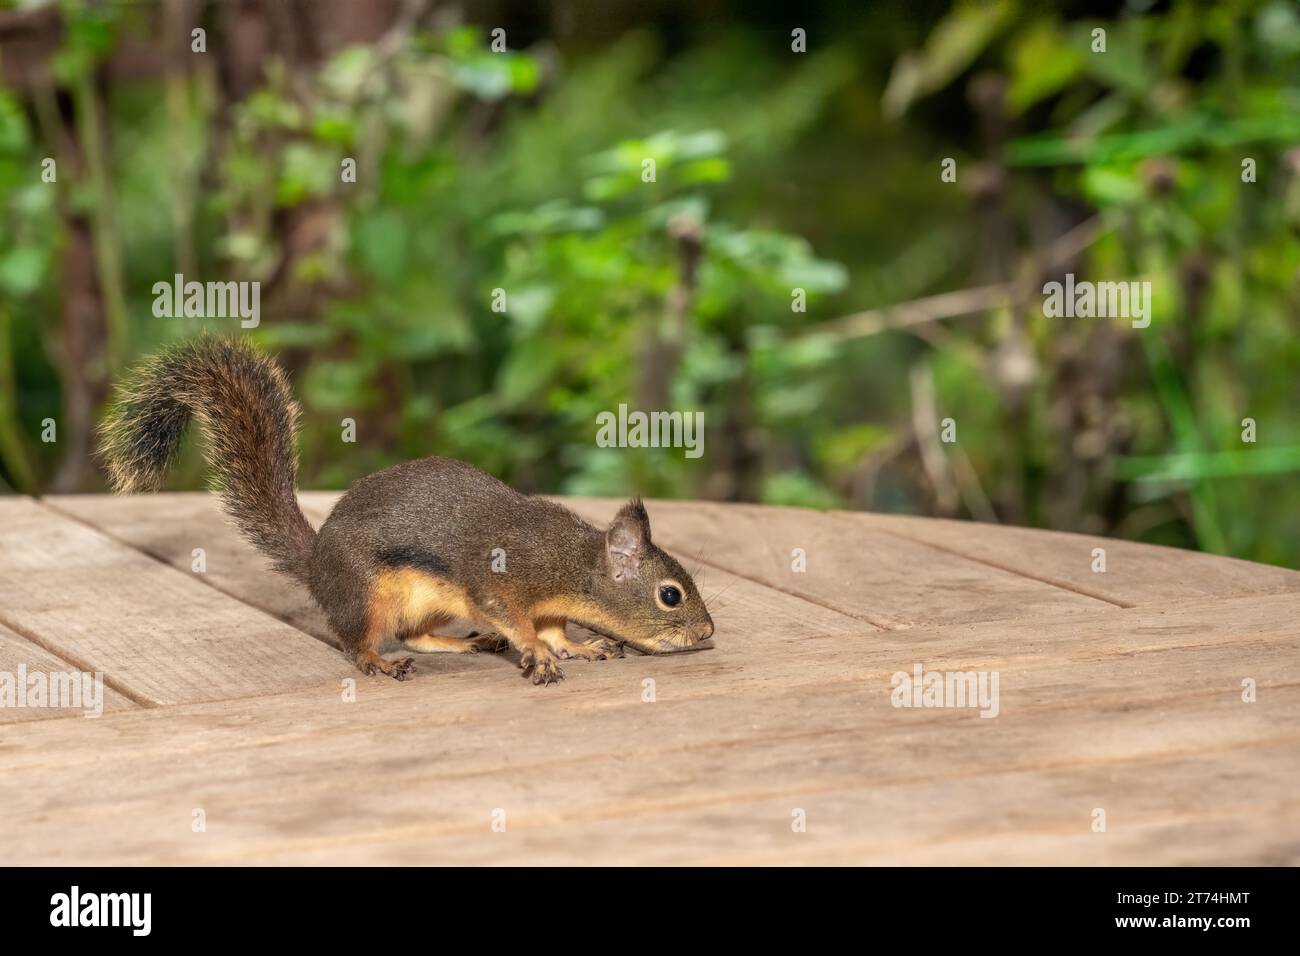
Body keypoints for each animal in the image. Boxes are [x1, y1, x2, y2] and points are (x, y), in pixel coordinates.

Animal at [97, 336, 715, 685]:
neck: (572, 562)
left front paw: (578, 646)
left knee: (415, 635)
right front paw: (538, 653)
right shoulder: (501, 579)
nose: (708, 632)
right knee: (361, 642)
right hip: (370, 592)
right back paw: (381, 663)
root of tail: (317, 564)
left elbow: (555, 627)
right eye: (670, 594)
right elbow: (516, 619)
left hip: (427, 602)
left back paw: (468, 642)